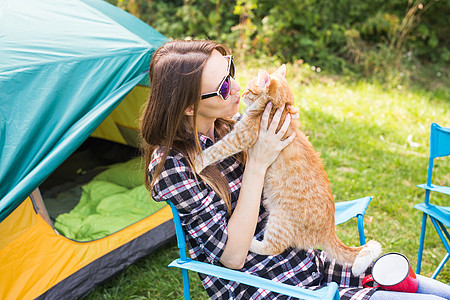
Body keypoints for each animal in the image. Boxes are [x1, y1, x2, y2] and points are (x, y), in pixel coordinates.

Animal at [195, 64, 382, 276]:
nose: (241, 94)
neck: (279, 108)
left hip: (279, 221)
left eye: (249, 89)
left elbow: (217, 149)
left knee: (273, 247)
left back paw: (252, 243)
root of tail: (329, 230)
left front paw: (199, 161)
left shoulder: (241, 137)